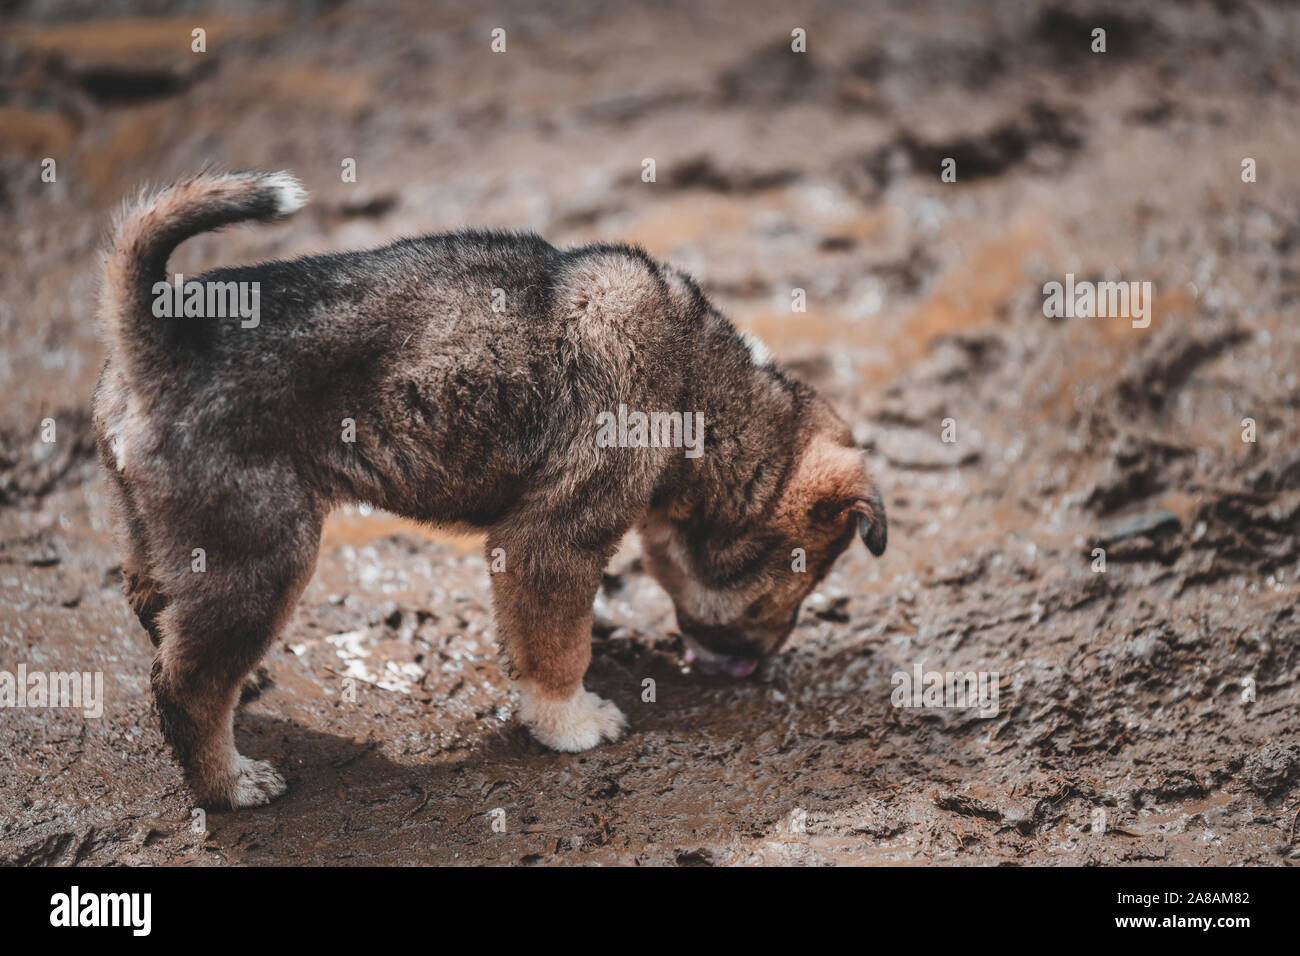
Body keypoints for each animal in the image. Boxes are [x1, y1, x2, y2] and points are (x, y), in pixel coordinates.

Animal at [91, 170, 883, 806]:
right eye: (796, 585)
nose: (760, 666)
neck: (707, 397)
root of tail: (156, 341)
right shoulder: (551, 540)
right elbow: (559, 652)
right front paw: (571, 723)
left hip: (169, 537)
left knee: (157, 614)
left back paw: (240, 695)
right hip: (265, 553)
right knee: (187, 682)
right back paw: (228, 784)